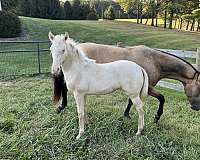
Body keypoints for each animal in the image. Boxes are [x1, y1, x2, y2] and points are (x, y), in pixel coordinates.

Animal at [50, 32, 200, 122]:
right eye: (199, 88)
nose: (196, 108)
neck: (154, 60)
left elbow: (130, 101)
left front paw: (126, 114)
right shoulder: (148, 87)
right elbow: (161, 98)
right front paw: (156, 117)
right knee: (64, 88)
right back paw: (61, 107)